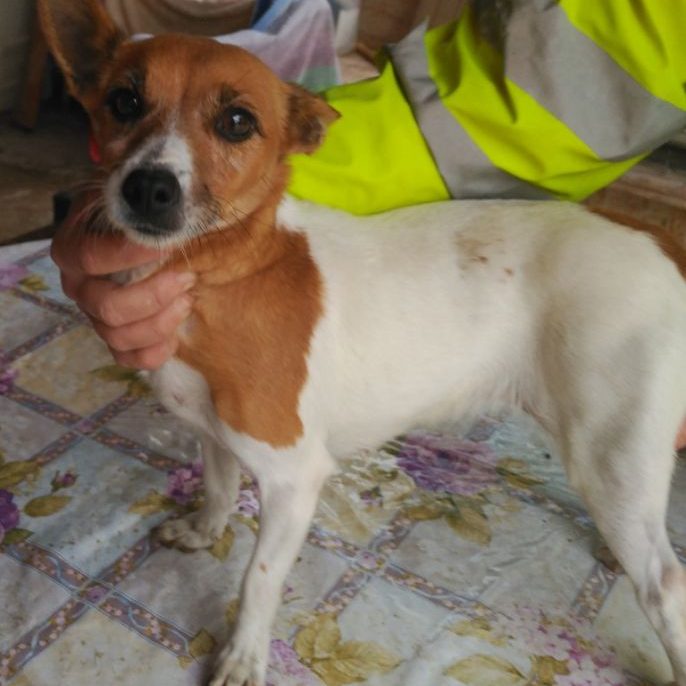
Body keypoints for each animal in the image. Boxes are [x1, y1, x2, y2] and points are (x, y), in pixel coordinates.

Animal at [39, 1, 686, 684]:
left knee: (665, 583)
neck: (220, 274)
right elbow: (217, 487)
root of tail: (658, 241)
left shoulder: (295, 481)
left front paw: (243, 654)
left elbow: (257, 581)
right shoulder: (213, 433)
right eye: (124, 101)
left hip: (610, 457)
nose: (149, 187)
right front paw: (204, 530)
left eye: (238, 122)